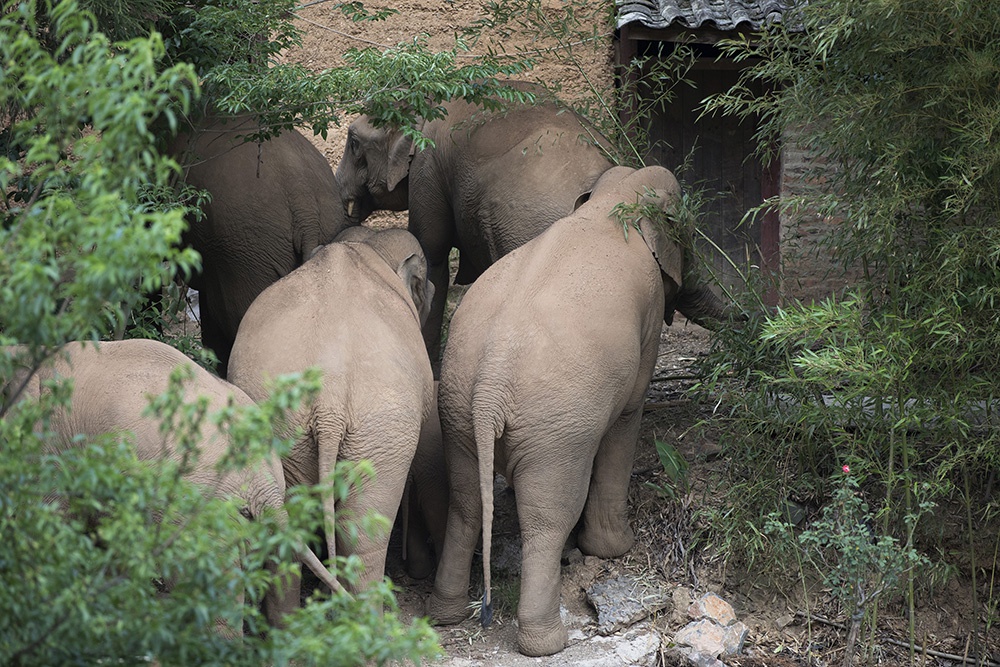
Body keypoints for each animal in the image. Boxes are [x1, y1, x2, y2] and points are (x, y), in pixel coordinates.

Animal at [229, 226, 438, 596]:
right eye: (424, 282)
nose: (435, 289)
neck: (361, 248)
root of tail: (329, 395)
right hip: (382, 430)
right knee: (363, 535)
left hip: (285, 430)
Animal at [422, 164, 736, 656]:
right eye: (687, 231)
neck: (612, 200)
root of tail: (492, 377)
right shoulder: (647, 317)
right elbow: (628, 413)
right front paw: (614, 550)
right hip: (555, 431)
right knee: (546, 516)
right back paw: (547, 643)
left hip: (456, 408)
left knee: (466, 502)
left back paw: (445, 615)